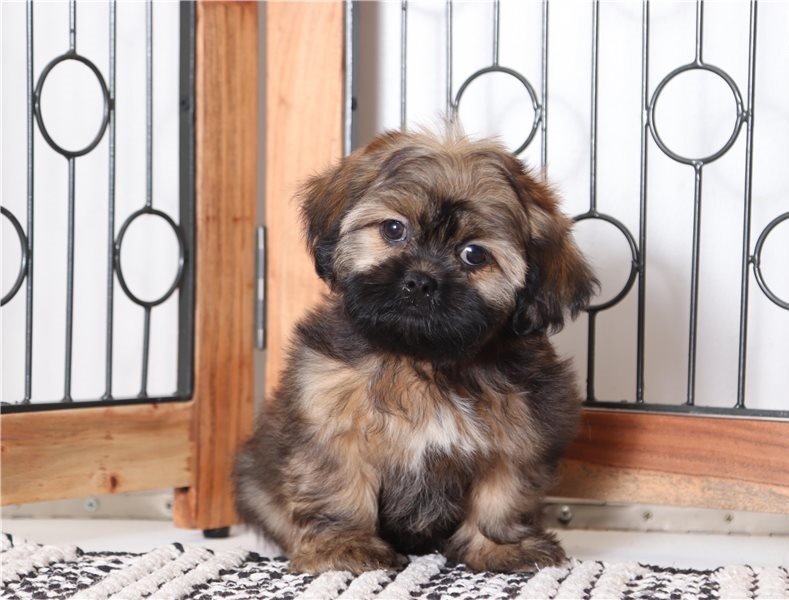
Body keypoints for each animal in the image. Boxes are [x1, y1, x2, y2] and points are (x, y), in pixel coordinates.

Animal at [234, 128, 596, 574]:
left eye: (474, 254)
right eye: (393, 229)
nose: (421, 281)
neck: (420, 360)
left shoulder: (523, 427)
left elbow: (502, 494)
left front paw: (499, 546)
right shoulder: (330, 416)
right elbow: (338, 485)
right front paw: (344, 546)